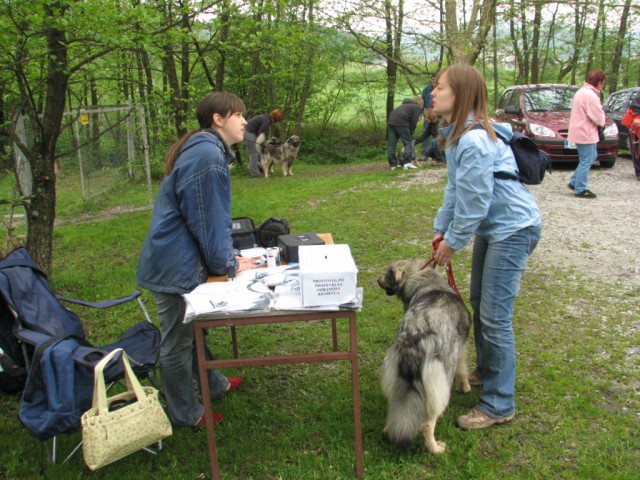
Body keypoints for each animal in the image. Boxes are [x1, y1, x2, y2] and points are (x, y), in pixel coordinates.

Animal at [378, 260, 468, 456]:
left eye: (387, 274)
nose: (377, 280)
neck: (427, 284)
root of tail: (413, 339)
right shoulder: (461, 349)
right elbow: (463, 370)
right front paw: (466, 387)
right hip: (440, 385)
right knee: (427, 424)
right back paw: (435, 449)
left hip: (396, 380)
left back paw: (388, 429)